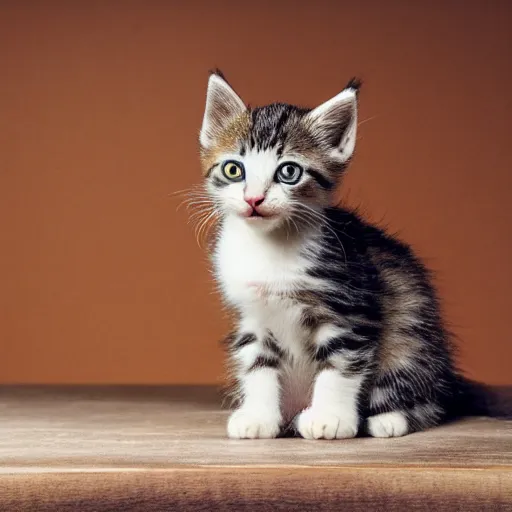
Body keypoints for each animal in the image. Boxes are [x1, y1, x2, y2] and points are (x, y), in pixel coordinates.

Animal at [192, 69, 504, 440]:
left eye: (289, 172)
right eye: (233, 170)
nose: (254, 199)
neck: (270, 247)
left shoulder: (350, 307)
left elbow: (340, 364)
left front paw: (330, 418)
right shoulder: (252, 316)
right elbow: (257, 365)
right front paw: (258, 417)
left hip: (410, 337)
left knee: (429, 398)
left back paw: (389, 419)